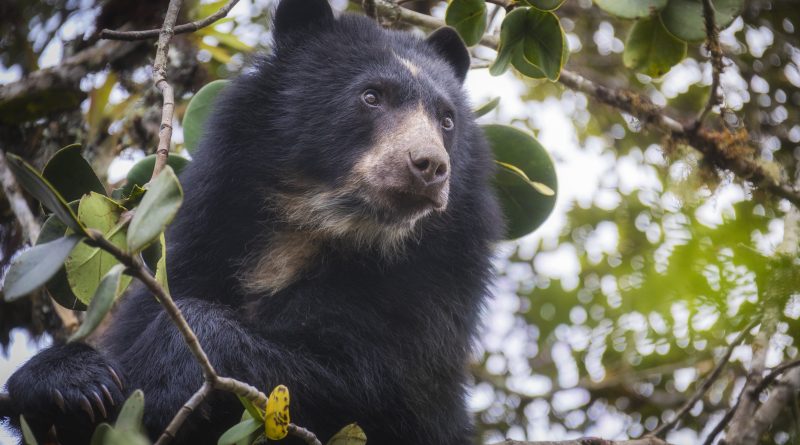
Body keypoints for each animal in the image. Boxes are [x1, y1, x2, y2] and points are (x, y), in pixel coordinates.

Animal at [3, 0, 502, 443]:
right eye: (371, 96)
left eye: (447, 121)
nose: (429, 166)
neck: (319, 228)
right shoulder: (203, 239)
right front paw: (76, 383)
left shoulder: (424, 304)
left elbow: (369, 386)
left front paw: (166, 373)